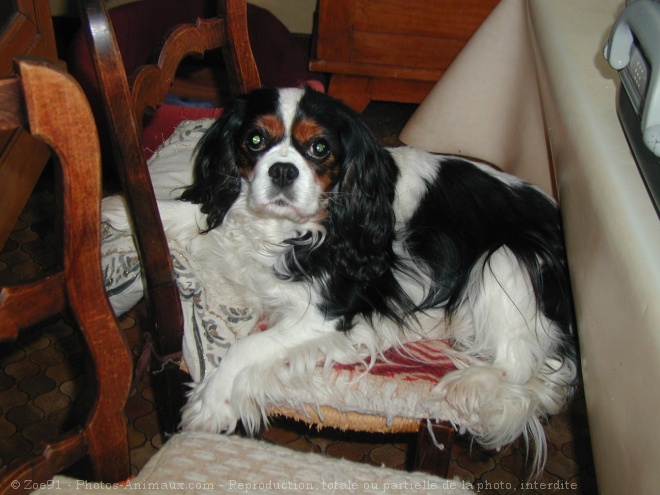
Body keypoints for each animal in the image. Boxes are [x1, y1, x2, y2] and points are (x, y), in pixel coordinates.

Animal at [171, 86, 576, 476]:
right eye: (255, 140)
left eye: (319, 148)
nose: (283, 170)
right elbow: (194, 213)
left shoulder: (324, 315)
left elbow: (245, 347)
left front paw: (211, 402)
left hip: (508, 257)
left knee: (520, 364)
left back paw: (469, 381)